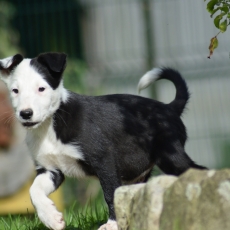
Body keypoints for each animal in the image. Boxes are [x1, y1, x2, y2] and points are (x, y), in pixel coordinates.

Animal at [0, 52, 206, 230]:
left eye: (41, 88)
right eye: (15, 91)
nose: (26, 114)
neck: (52, 123)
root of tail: (169, 108)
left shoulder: (104, 160)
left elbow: (110, 193)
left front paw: (113, 225)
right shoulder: (50, 170)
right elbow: (34, 191)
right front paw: (51, 218)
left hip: (171, 157)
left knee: (198, 171)